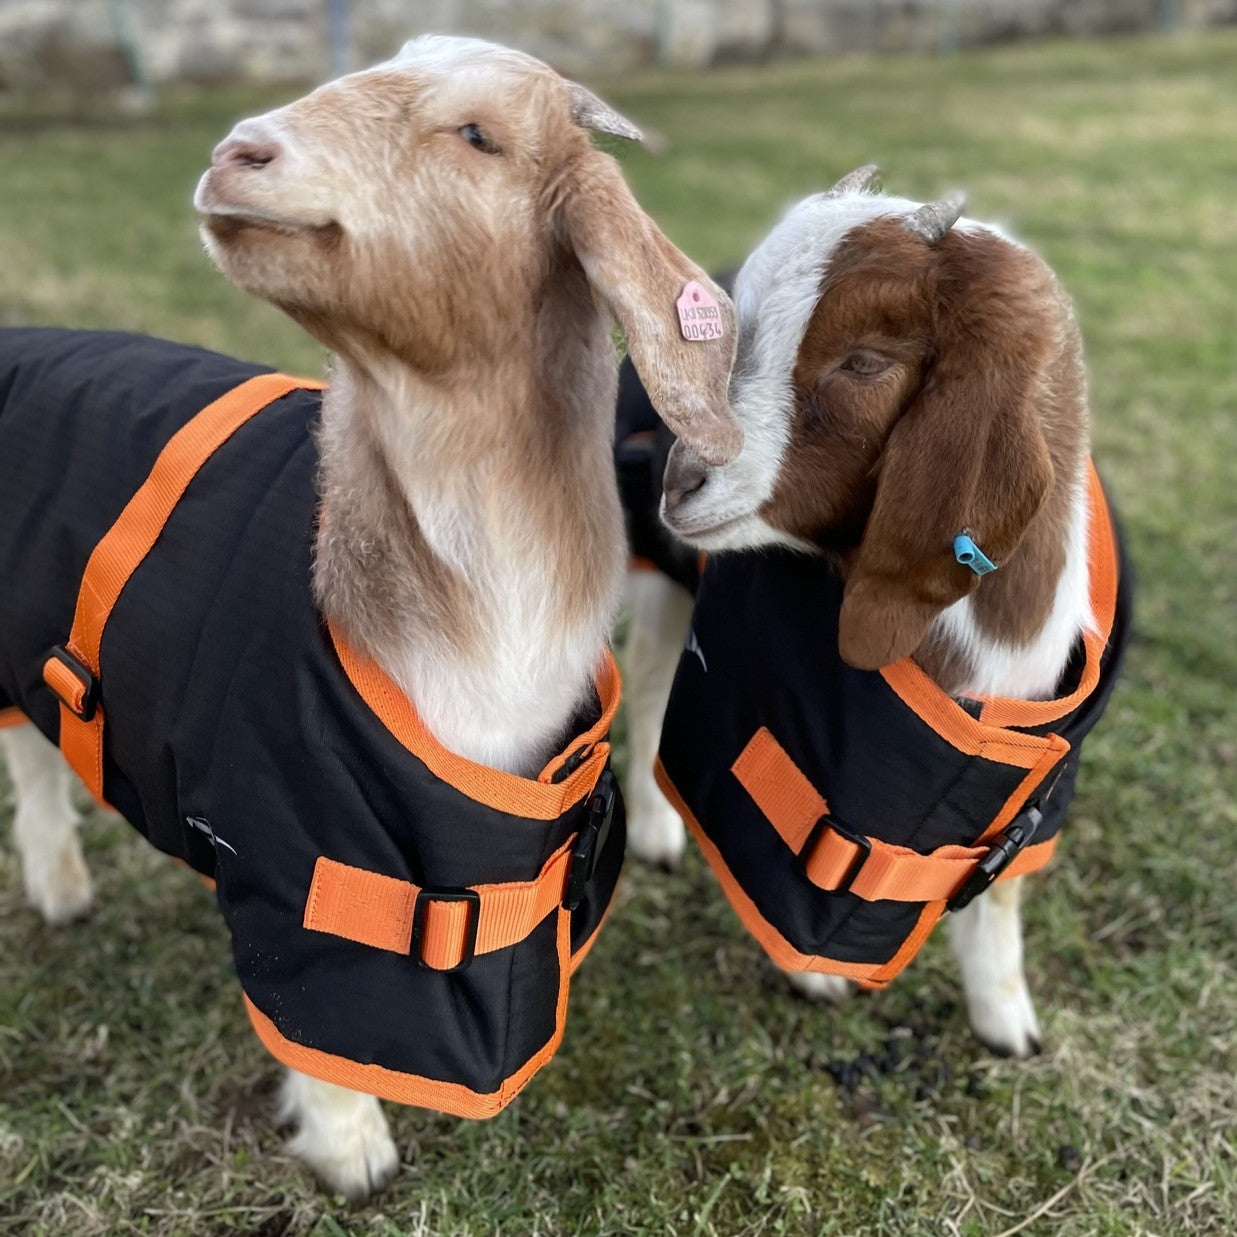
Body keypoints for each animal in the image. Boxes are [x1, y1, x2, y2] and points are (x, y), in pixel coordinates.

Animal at [0, 35, 740, 1199]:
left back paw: (61, 884)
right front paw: (350, 1147)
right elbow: (320, 1018)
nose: (238, 153)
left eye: (478, 135)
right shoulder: (300, 858)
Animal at [623, 168, 1127, 1058]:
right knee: (649, 688)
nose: (678, 479)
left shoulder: (1030, 786)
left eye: (863, 361)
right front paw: (810, 975)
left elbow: (997, 891)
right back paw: (653, 831)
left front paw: (1007, 1022)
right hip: (660, 573)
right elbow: (771, 873)